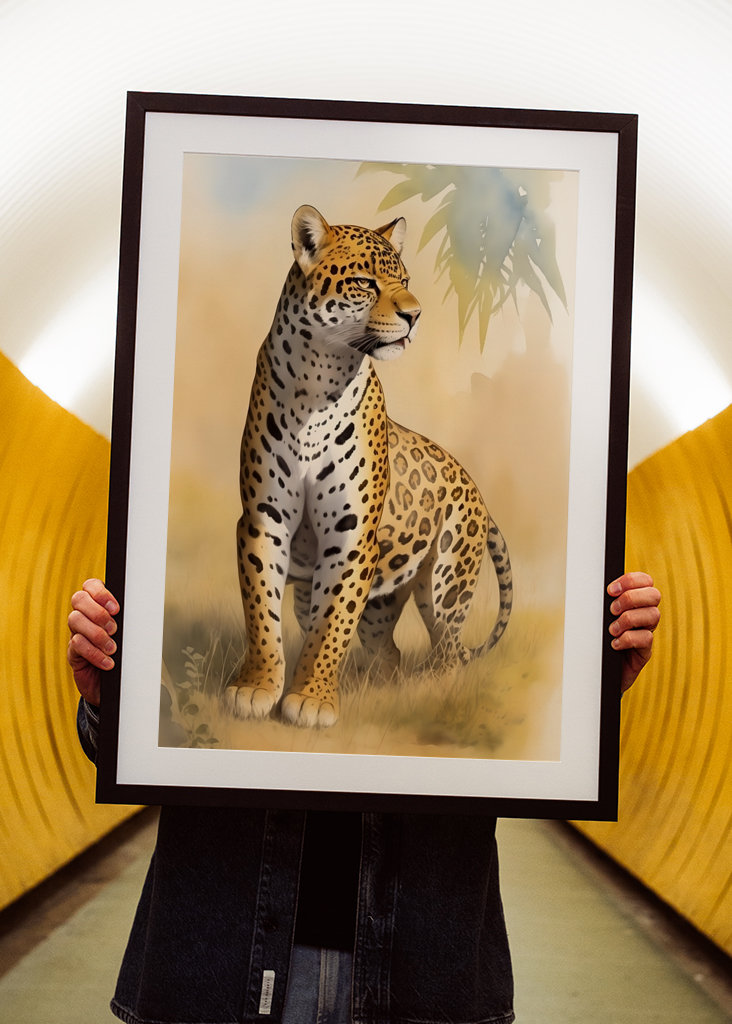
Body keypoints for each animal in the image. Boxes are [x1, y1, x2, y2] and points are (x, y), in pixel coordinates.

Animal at [225, 205, 512, 728]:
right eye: (365, 282)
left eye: (405, 280)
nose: (415, 314)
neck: (317, 380)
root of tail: (476, 490)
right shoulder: (263, 519)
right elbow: (262, 613)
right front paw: (257, 687)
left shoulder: (352, 532)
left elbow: (332, 623)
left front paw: (312, 699)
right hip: (378, 599)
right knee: (384, 647)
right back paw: (380, 688)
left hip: (445, 583)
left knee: (449, 652)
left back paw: (430, 697)